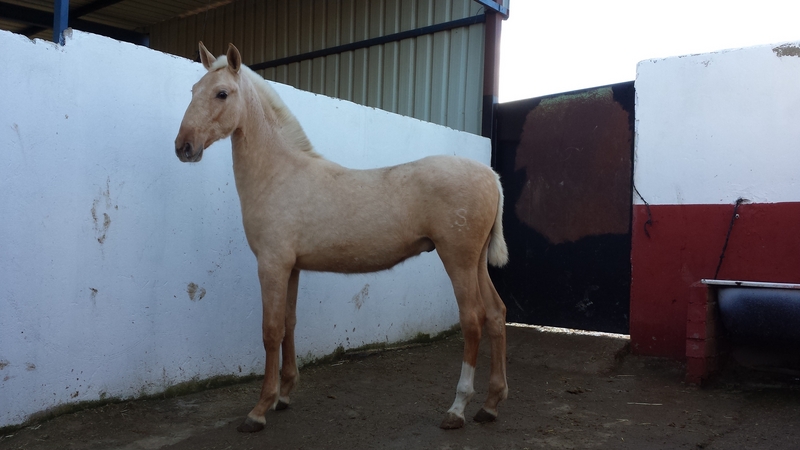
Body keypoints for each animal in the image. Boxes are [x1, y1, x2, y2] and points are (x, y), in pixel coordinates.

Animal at [174, 42, 509, 433]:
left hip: (457, 260)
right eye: (193, 91)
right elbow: (289, 324)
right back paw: (490, 405)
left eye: (222, 93)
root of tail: (490, 176)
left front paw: (259, 409)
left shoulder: (272, 265)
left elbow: (270, 331)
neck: (279, 173)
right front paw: (285, 395)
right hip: (476, 263)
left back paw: (457, 408)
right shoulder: (292, 268)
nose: (184, 146)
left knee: (473, 320)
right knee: (496, 314)